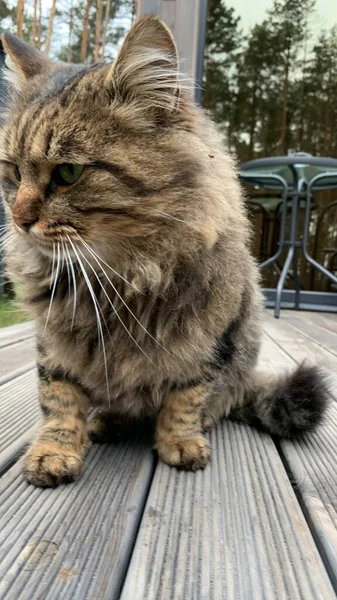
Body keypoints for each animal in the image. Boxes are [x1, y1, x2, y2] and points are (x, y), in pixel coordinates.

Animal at [0, 16, 326, 488]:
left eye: (69, 172)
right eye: (12, 171)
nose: (19, 219)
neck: (121, 275)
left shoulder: (213, 337)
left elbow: (186, 398)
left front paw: (181, 441)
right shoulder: (54, 342)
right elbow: (59, 398)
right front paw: (54, 452)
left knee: (219, 399)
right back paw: (108, 421)